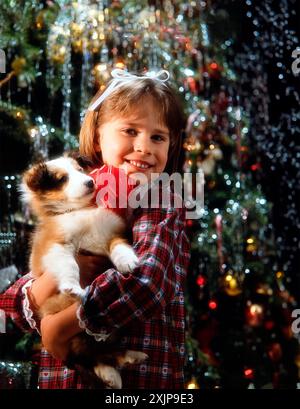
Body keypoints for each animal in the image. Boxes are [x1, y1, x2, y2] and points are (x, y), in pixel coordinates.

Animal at [20, 153, 148, 386]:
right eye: (62, 179)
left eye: (80, 170)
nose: (90, 182)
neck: (78, 211)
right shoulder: (57, 246)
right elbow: (69, 264)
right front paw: (72, 286)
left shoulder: (111, 233)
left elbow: (120, 247)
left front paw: (127, 261)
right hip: (76, 332)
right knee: (88, 356)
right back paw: (115, 370)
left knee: (100, 353)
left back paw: (127, 360)